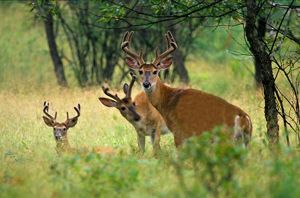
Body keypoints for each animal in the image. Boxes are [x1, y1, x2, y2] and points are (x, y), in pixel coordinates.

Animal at [120, 30, 252, 146]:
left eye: (155, 71)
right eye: (140, 71)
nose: (146, 84)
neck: (168, 100)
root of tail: (243, 118)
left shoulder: (179, 131)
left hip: (225, 138)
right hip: (244, 141)